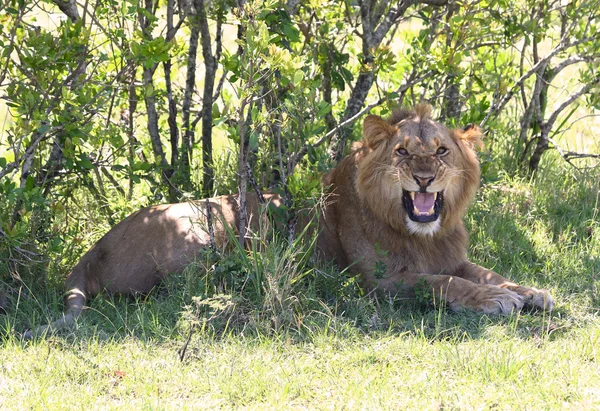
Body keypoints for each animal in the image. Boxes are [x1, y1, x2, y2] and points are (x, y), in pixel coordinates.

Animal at [27, 104, 552, 340]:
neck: (421, 231)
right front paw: (497, 301)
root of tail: (92, 248)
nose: (423, 179)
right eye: (403, 152)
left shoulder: (448, 251)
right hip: (198, 225)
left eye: (441, 151)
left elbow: (482, 271)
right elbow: (447, 284)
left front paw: (530, 292)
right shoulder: (381, 283)